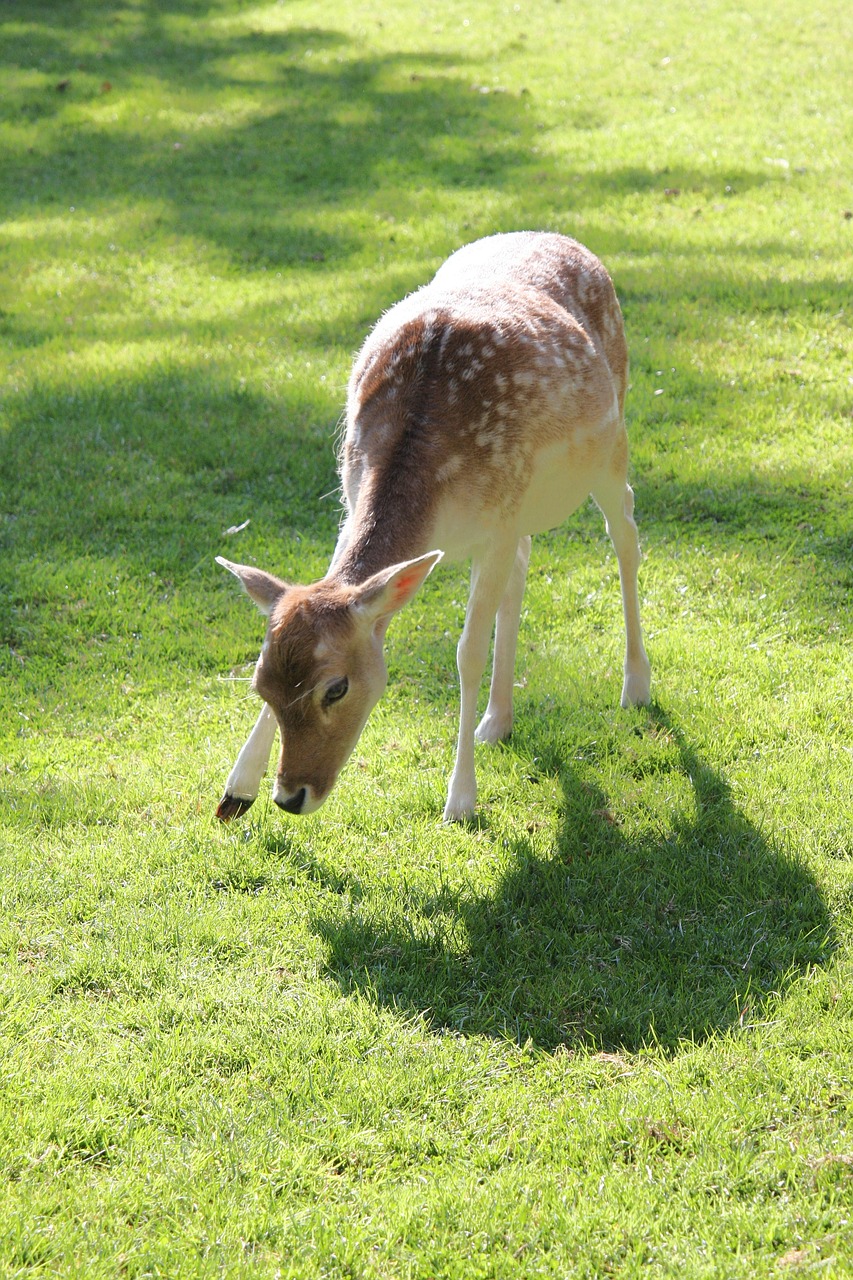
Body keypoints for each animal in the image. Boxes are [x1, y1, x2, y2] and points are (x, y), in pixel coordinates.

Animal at [213, 232, 650, 819]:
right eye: (261, 685)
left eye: (336, 688)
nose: (290, 796)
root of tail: (566, 239)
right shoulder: (351, 497)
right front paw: (236, 788)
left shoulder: (496, 524)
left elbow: (466, 651)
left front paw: (461, 799)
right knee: (524, 567)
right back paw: (497, 720)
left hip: (612, 445)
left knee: (625, 532)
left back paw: (635, 686)